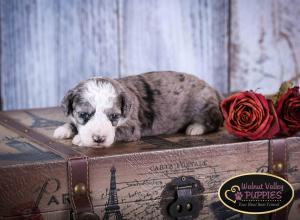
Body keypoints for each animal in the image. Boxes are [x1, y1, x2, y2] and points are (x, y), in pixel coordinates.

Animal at [53, 72, 223, 148]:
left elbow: (119, 131)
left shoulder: (132, 127)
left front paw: (80, 139)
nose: (99, 139)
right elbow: (72, 123)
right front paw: (63, 130)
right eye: (83, 114)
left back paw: (195, 128)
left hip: (203, 104)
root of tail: (212, 88)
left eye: (114, 116)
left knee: (215, 121)